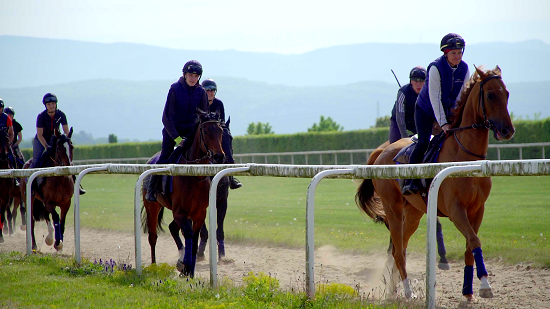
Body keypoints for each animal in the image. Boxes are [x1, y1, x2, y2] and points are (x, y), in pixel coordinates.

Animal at [143, 111, 227, 276]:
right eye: (205, 131)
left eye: (221, 130)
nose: (219, 156)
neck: (193, 175)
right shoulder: (180, 212)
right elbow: (188, 234)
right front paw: (186, 266)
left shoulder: (198, 213)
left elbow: (194, 240)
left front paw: (189, 269)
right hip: (152, 207)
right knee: (153, 236)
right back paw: (155, 265)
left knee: (172, 228)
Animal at [358, 67, 516, 298]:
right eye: (490, 95)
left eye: (507, 93)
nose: (507, 130)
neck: (465, 158)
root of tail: (382, 151)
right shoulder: (455, 209)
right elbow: (474, 240)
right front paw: (485, 286)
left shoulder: (478, 209)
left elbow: (470, 246)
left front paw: (468, 289)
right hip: (393, 208)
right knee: (397, 250)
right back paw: (407, 291)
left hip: (413, 212)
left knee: (399, 247)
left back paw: (393, 290)